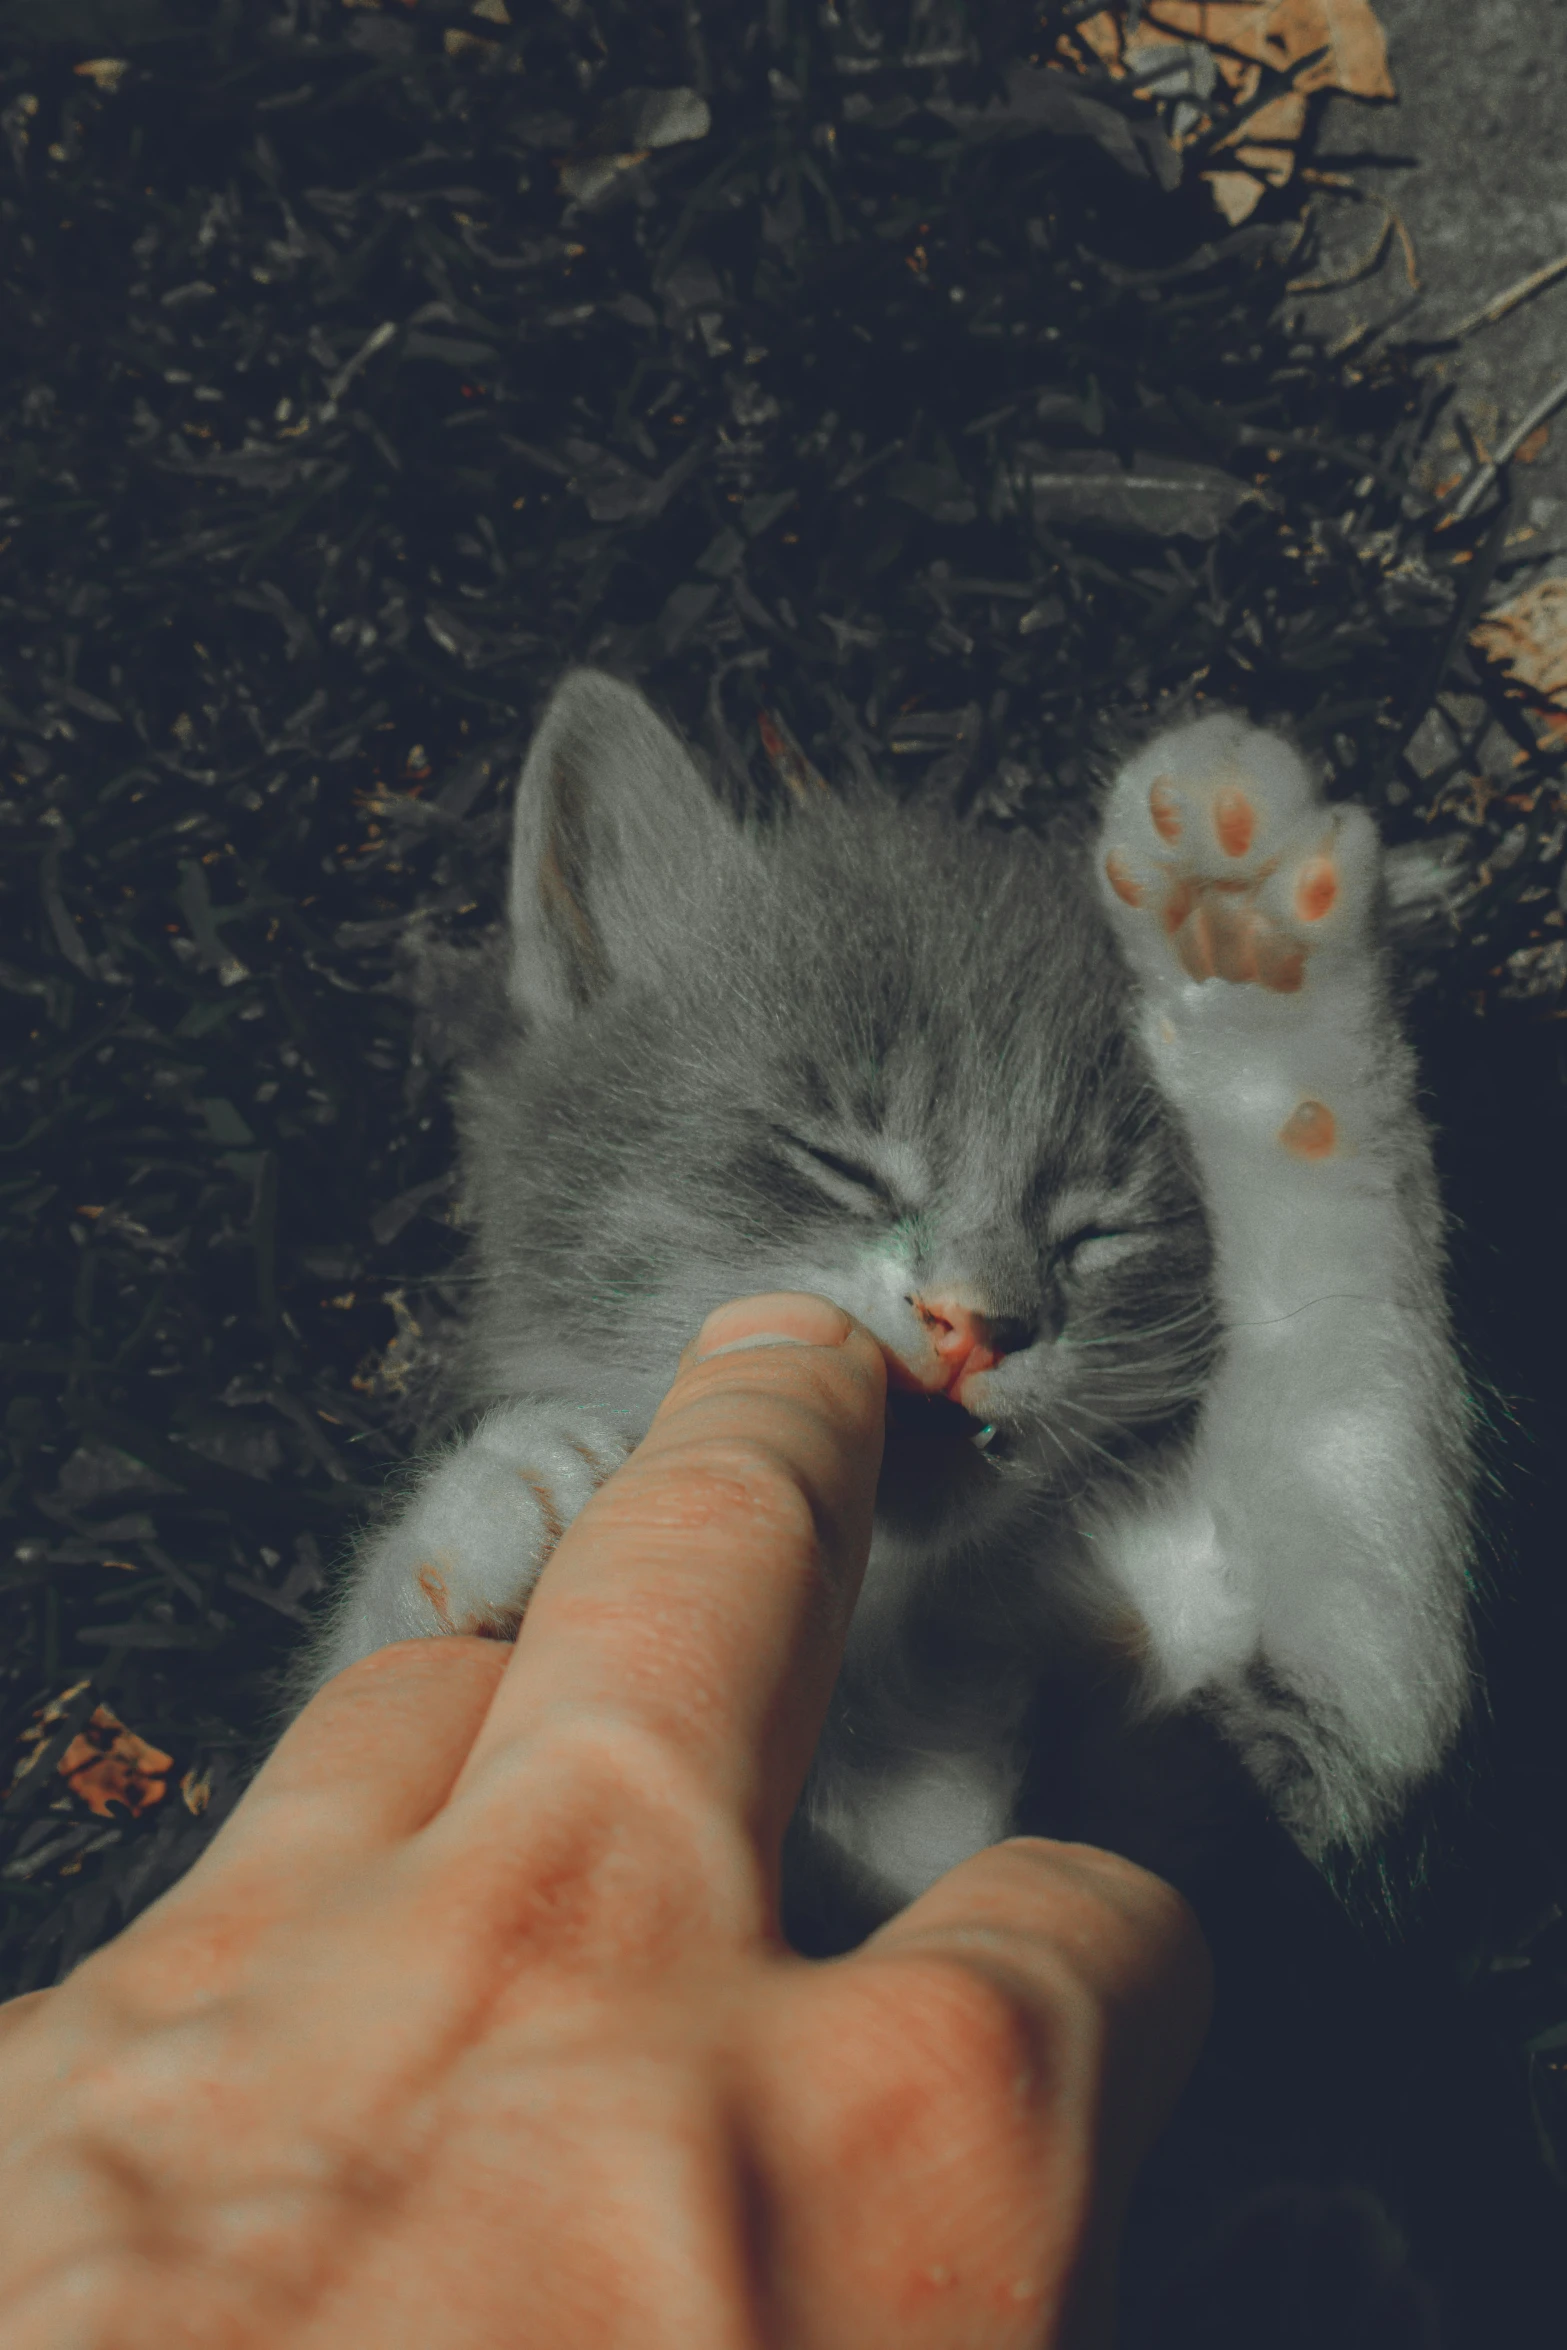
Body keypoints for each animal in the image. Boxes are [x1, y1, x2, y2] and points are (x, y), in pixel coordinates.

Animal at [297, 672, 1484, 1936]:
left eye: (1096, 1230)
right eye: (843, 1163)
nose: (975, 1318)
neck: (870, 1641)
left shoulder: (1266, 1766)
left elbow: (1343, 1373)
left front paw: (1249, 954)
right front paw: (464, 1530)